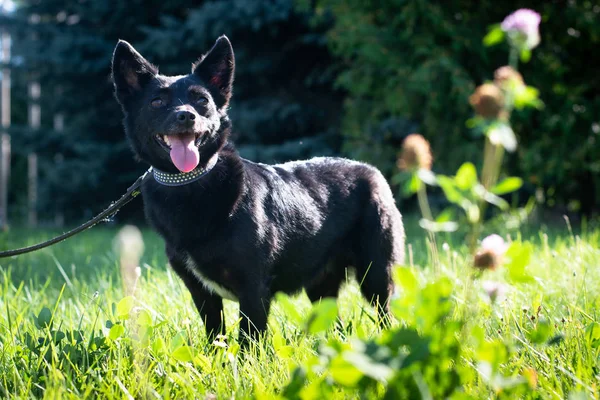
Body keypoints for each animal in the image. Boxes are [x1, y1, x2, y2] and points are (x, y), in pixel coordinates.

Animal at [110, 36, 406, 344]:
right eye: (157, 102)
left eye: (202, 100)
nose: (185, 116)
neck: (191, 185)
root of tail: (370, 170)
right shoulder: (202, 293)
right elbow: (214, 334)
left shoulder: (252, 288)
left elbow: (248, 338)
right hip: (321, 287)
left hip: (376, 274)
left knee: (385, 314)